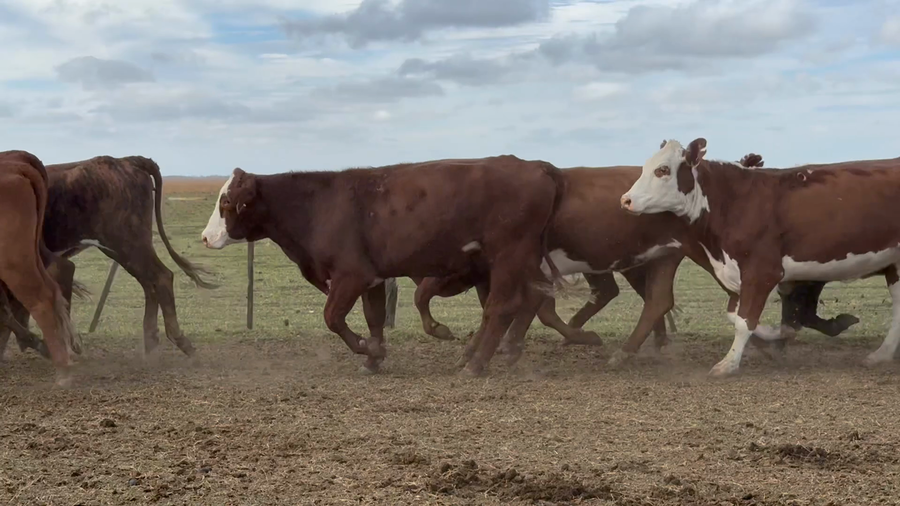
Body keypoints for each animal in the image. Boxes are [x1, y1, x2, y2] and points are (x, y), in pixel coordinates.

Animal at [0, 155, 217, 360]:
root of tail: (126, 161)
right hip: (122, 249)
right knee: (149, 283)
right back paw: (150, 342)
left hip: (128, 243)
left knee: (161, 276)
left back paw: (178, 340)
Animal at [201, 156, 566, 376]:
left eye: (227, 202)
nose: (205, 237)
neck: (317, 206)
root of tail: (533, 166)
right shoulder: (372, 277)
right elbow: (374, 316)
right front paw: (374, 356)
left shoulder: (350, 275)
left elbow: (332, 317)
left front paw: (365, 347)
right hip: (521, 261)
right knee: (527, 300)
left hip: (507, 256)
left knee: (501, 308)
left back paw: (475, 364)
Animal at [620, 138, 899, 376]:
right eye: (645, 167)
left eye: (662, 170)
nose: (625, 200)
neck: (733, 201)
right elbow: (738, 315)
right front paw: (777, 334)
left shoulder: (762, 271)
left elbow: (745, 321)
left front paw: (728, 363)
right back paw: (881, 354)